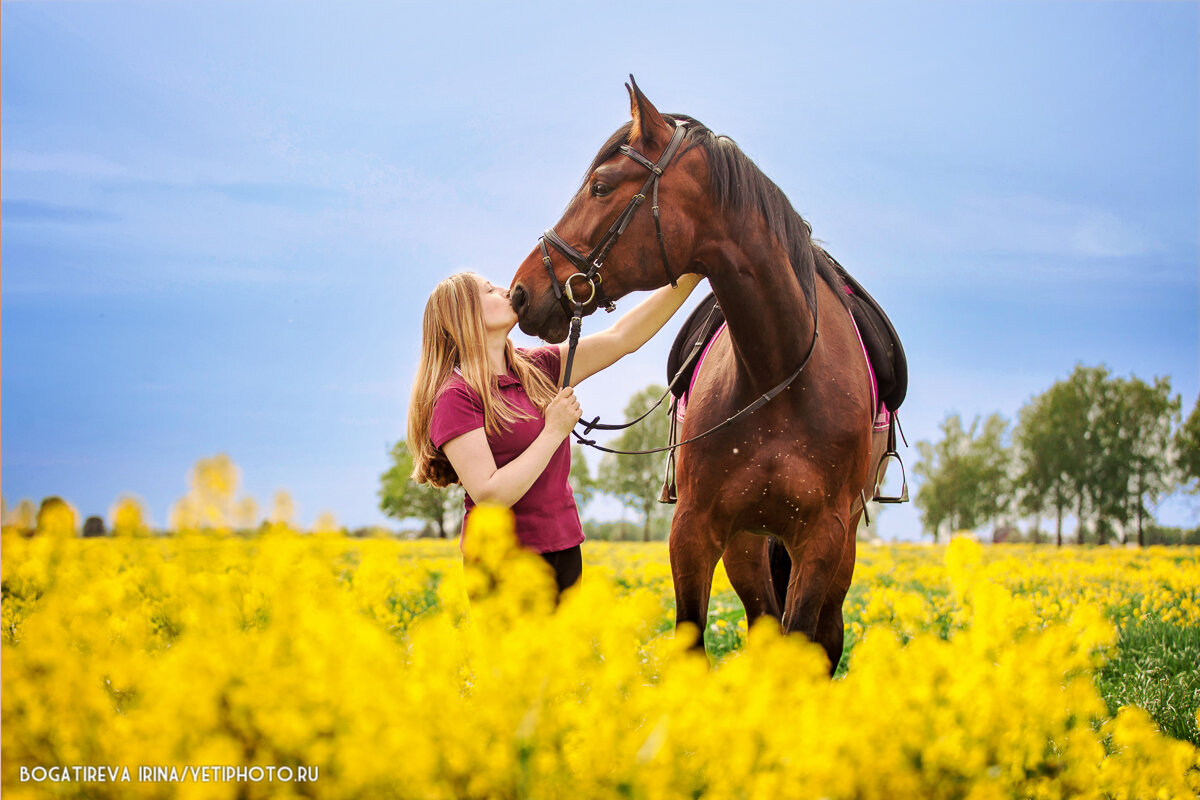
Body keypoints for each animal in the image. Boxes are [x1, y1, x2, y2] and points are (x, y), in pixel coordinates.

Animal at [508, 77, 892, 671]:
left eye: (601, 187)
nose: (521, 292)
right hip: (746, 544)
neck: (776, 375)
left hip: (840, 545)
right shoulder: (693, 530)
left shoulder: (822, 537)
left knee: (825, 639)